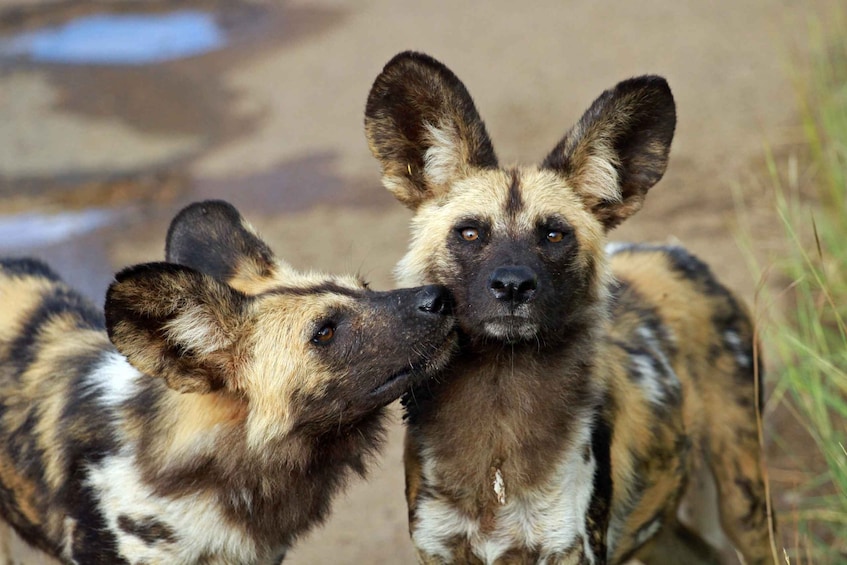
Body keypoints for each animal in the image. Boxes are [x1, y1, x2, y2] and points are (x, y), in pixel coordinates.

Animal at [364, 50, 776, 560]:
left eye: (555, 235)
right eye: (470, 233)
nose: (513, 286)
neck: (500, 407)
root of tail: (680, 254)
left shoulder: (569, 548)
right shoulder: (439, 548)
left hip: (744, 504)